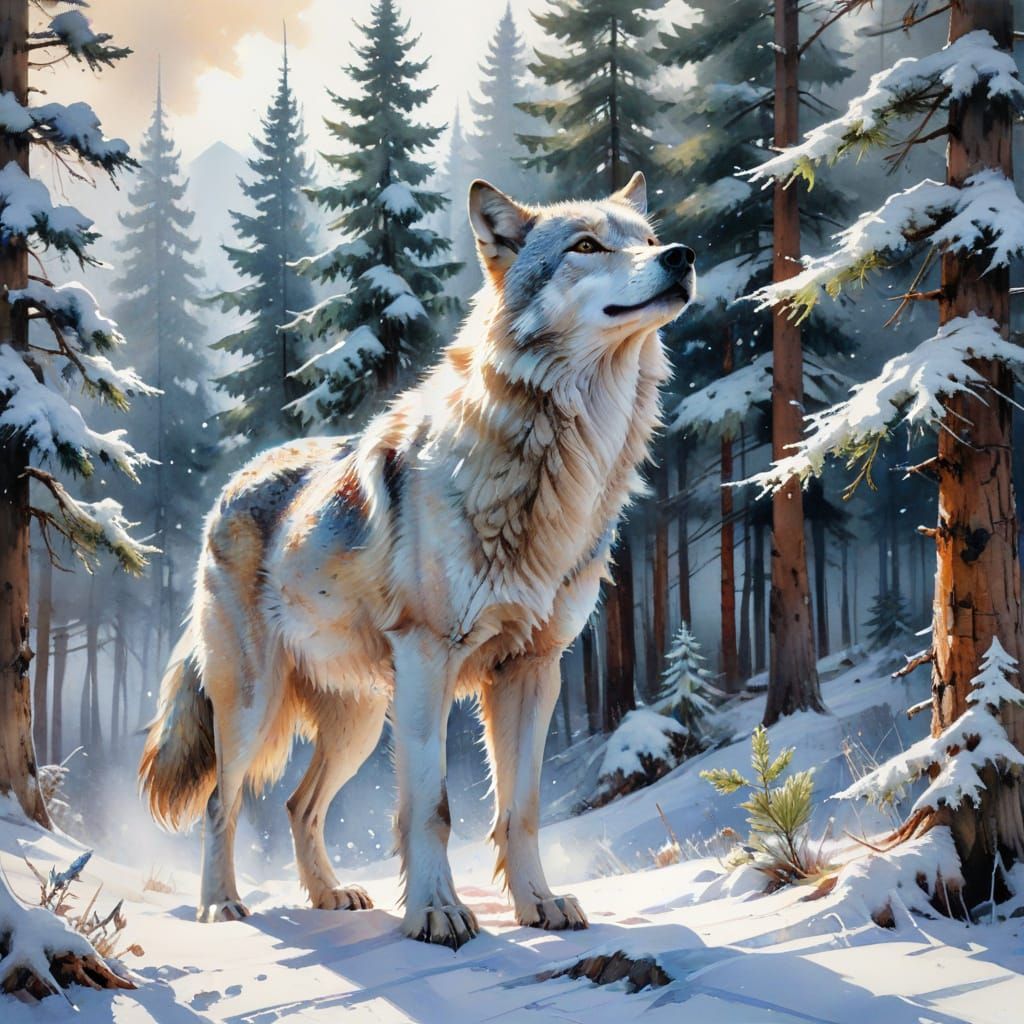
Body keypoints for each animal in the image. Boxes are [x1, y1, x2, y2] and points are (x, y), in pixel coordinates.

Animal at [139, 172, 695, 948]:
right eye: (587, 246)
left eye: (646, 238)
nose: (682, 256)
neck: (553, 466)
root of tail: (236, 481)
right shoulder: (430, 660)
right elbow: (432, 809)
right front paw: (437, 912)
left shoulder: (534, 669)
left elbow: (521, 810)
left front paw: (540, 906)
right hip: (258, 706)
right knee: (225, 802)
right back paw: (221, 906)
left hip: (364, 720)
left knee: (299, 805)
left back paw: (331, 894)